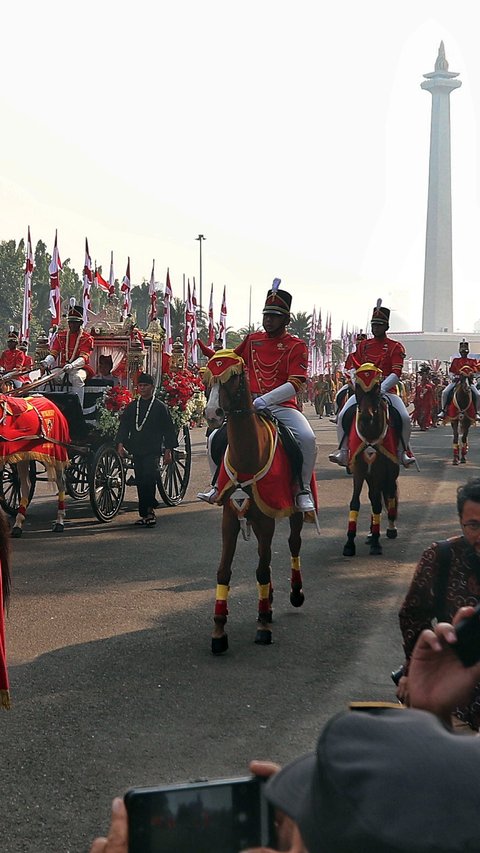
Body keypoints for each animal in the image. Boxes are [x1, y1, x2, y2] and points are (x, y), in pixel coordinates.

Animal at [204, 350, 310, 656]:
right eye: (208, 376)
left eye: (233, 376)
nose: (212, 414)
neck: (248, 455)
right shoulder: (230, 518)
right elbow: (224, 571)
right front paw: (219, 630)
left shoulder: (266, 519)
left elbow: (262, 569)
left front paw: (263, 626)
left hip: (292, 511)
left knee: (292, 544)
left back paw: (293, 594)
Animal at [342, 364, 402, 560]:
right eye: (358, 387)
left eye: (377, 387)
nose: (365, 418)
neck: (369, 433)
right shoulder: (360, 470)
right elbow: (355, 502)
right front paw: (349, 543)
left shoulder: (380, 470)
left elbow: (377, 503)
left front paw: (376, 543)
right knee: (374, 496)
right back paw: (370, 532)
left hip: (390, 472)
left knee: (389, 494)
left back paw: (390, 528)